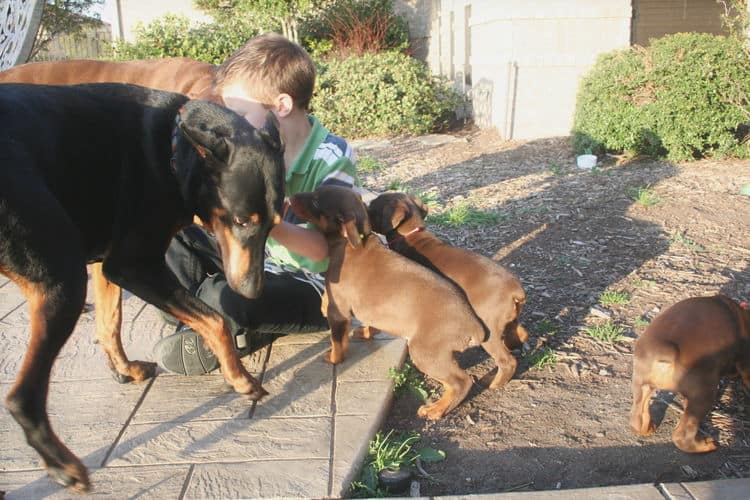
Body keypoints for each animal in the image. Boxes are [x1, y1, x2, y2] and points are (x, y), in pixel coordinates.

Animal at [0, 83, 284, 492]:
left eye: (275, 223)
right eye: (243, 220)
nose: (252, 292)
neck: (172, 151)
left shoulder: (106, 261)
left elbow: (110, 322)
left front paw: (124, 369)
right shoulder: (133, 266)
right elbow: (215, 321)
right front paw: (240, 379)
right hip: (62, 280)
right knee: (22, 395)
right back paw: (63, 465)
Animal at [290, 186, 490, 420]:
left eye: (315, 202)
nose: (289, 197)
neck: (349, 244)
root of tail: (475, 326)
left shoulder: (338, 311)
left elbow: (337, 340)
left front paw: (333, 358)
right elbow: (370, 322)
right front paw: (366, 332)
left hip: (425, 352)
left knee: (461, 382)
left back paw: (435, 409)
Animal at [368, 191, 528, 386]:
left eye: (373, 206)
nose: (364, 207)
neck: (411, 234)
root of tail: (516, 292)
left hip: (489, 328)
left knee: (507, 361)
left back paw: (494, 383)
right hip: (509, 320)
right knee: (519, 334)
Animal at [636, 294, 750, 456]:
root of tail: (664, 351)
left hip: (641, 385)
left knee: (637, 418)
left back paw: (647, 428)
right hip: (704, 394)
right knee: (681, 436)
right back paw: (706, 446)